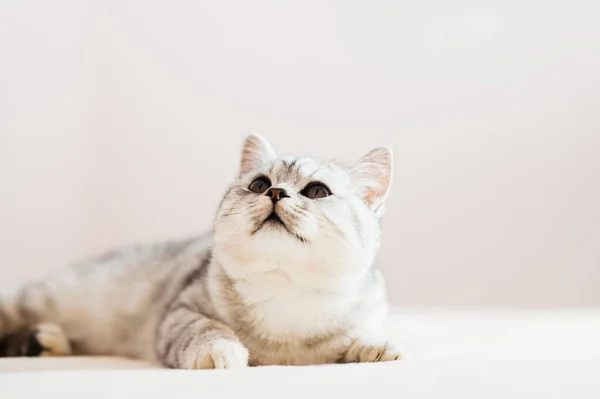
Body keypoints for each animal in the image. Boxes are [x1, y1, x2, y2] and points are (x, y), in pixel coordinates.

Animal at [1, 134, 404, 368]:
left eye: (317, 191)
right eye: (260, 185)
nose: (276, 193)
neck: (285, 292)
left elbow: (367, 330)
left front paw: (376, 344)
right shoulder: (180, 310)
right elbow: (207, 328)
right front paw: (221, 351)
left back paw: (46, 342)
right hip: (37, 298)